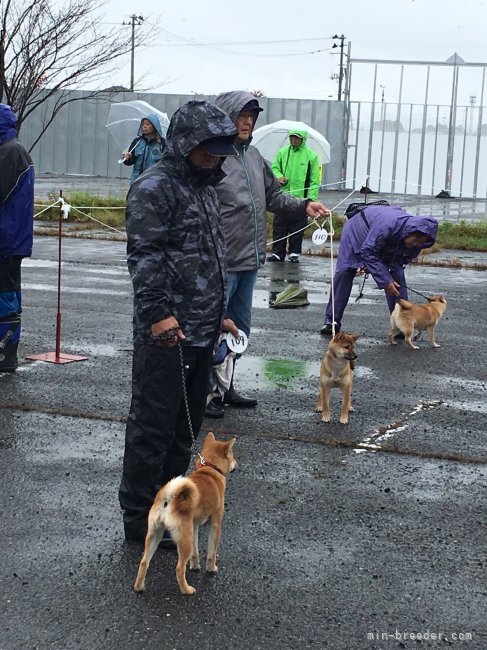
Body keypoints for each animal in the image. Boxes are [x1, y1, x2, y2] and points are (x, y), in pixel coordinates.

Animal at [133, 432, 236, 596]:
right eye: (232, 456)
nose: (236, 464)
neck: (209, 469)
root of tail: (169, 498)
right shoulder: (215, 525)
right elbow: (212, 552)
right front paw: (211, 569)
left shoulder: (194, 526)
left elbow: (195, 552)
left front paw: (195, 566)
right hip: (183, 539)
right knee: (179, 568)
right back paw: (186, 589)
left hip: (156, 534)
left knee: (144, 562)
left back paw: (139, 587)